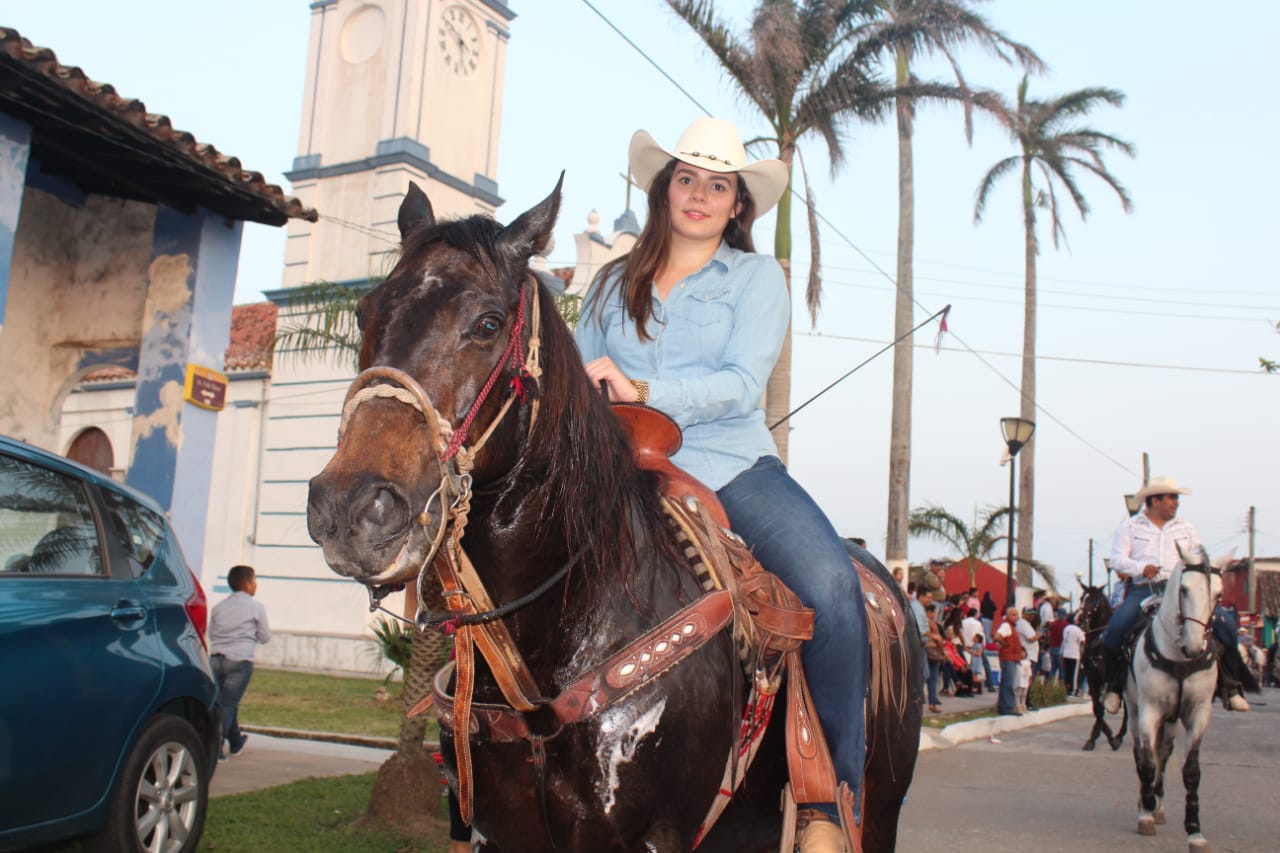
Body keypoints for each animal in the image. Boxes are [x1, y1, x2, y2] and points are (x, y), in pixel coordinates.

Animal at [307, 179, 921, 850]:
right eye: (364, 313)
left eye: (488, 323)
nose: (351, 506)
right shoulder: (503, 833)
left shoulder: (651, 835)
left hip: (881, 803)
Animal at [1126, 540, 1223, 845]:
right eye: (1184, 589)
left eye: (1219, 594)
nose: (1193, 646)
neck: (1180, 659)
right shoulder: (1149, 709)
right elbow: (1146, 762)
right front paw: (1144, 812)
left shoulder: (1198, 713)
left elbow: (1191, 770)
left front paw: (1194, 829)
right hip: (1134, 709)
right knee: (1142, 754)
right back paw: (1147, 805)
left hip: (1171, 720)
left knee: (1165, 753)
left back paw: (1157, 803)